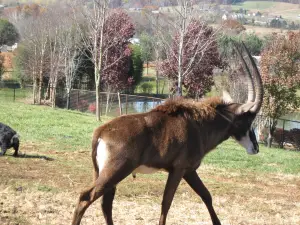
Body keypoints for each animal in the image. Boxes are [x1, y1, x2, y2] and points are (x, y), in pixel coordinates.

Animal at [72, 42, 262, 225]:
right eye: (249, 119)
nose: (256, 148)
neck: (200, 126)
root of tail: (101, 132)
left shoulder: (189, 171)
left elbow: (206, 195)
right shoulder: (179, 169)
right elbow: (167, 203)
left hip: (103, 172)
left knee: (105, 203)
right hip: (116, 170)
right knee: (86, 197)